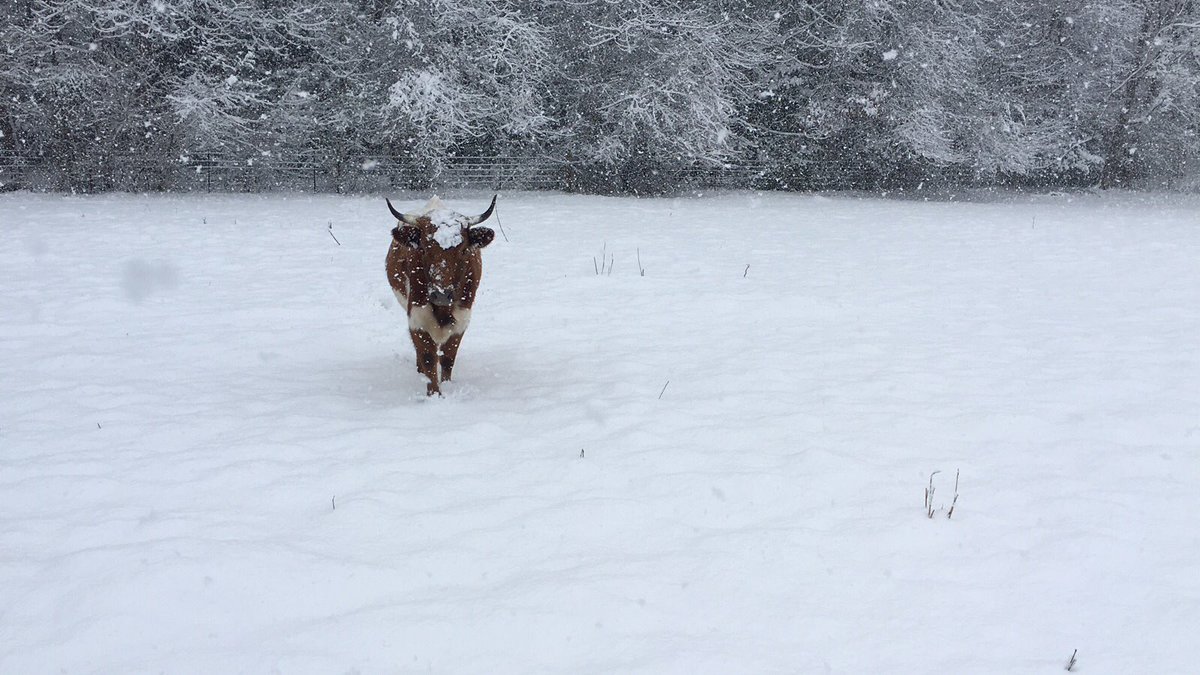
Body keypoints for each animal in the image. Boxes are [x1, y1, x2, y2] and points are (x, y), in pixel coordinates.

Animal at [384, 194, 496, 393]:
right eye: (423, 248)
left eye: (463, 250)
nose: (441, 295)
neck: (443, 311)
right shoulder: (417, 318)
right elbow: (428, 357)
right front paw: (434, 393)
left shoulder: (462, 319)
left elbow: (448, 358)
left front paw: (447, 386)